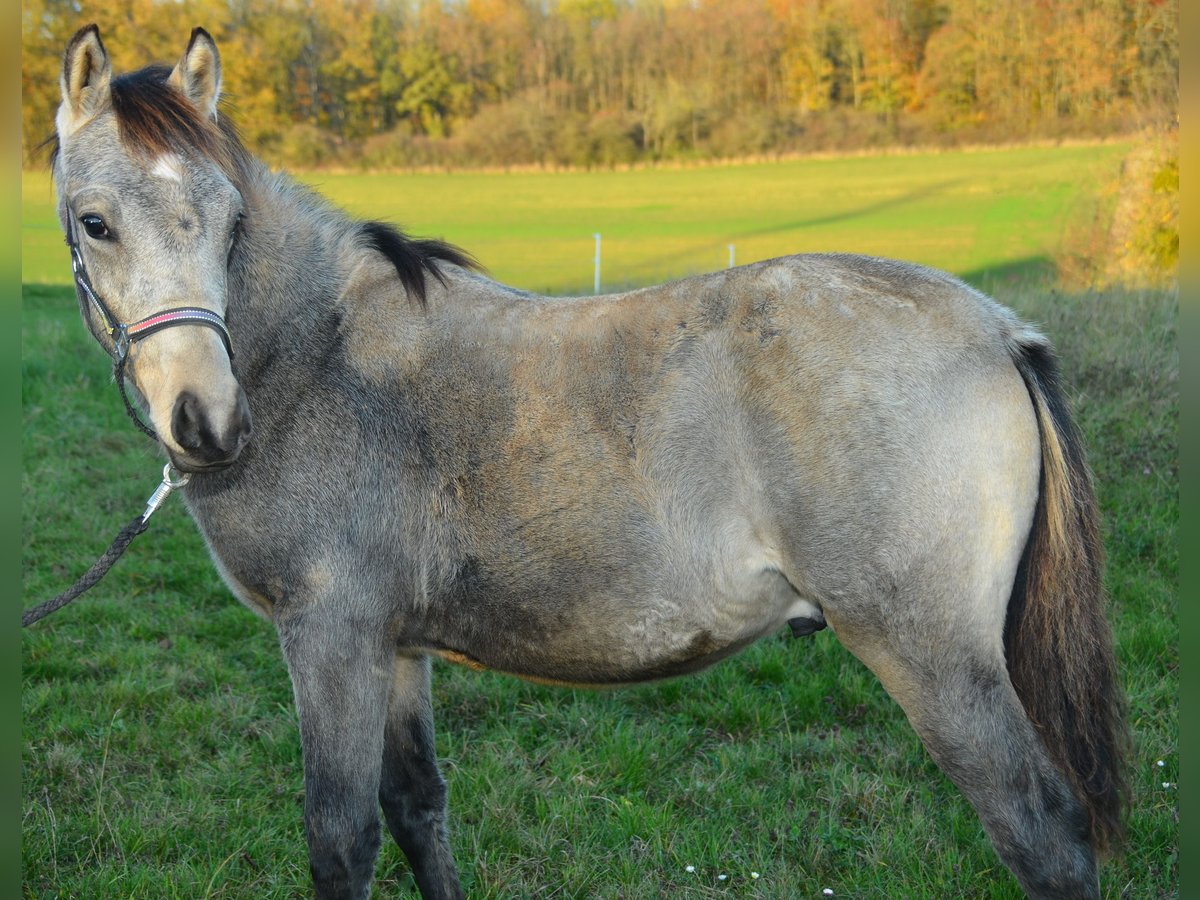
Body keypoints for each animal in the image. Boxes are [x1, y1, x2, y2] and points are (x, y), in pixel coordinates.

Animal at [44, 24, 1123, 900]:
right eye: (96, 223)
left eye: (233, 226)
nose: (208, 423)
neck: (319, 357)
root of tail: (997, 328)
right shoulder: (394, 648)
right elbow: (418, 810)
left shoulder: (330, 639)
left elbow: (341, 842)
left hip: (934, 662)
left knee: (1042, 835)